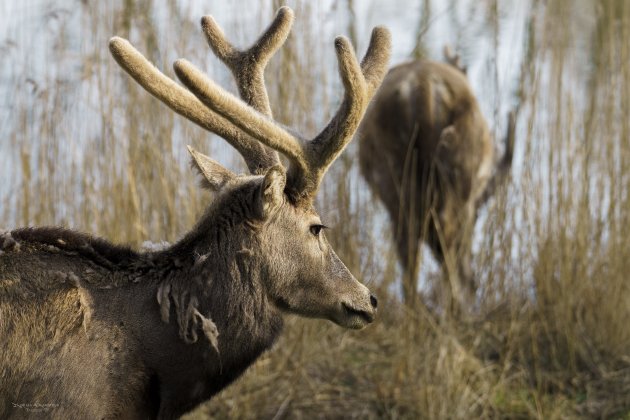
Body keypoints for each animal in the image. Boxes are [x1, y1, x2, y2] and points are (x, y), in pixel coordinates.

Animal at [358, 47, 516, 314]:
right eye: (477, 219)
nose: (474, 283)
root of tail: (423, 91)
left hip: (394, 172)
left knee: (407, 237)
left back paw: (416, 308)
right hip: (458, 167)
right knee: (445, 229)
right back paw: (455, 307)